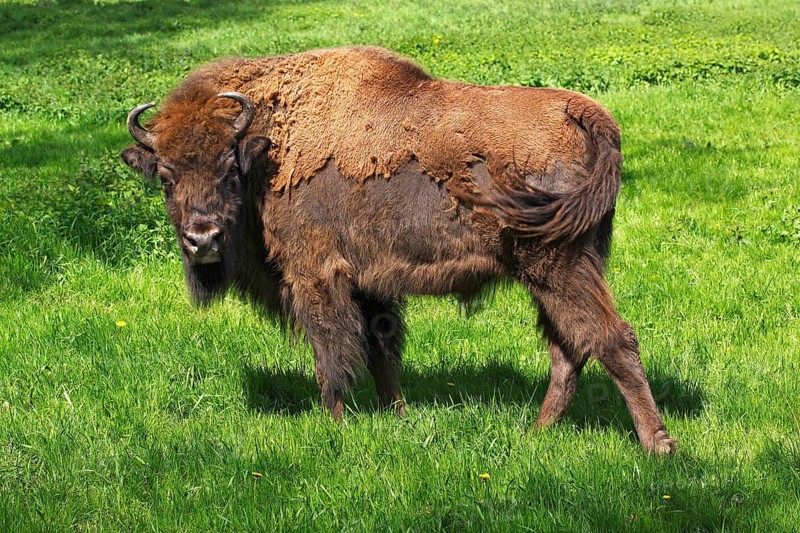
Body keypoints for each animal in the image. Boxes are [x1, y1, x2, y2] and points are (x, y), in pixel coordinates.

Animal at [122, 46, 676, 454]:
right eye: (165, 176)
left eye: (227, 169)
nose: (202, 239)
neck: (269, 144)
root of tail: (589, 114)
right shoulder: (369, 284)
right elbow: (379, 350)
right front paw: (398, 414)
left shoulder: (315, 275)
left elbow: (332, 353)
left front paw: (337, 425)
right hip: (556, 273)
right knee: (568, 348)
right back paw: (536, 433)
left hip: (558, 268)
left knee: (611, 339)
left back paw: (658, 446)